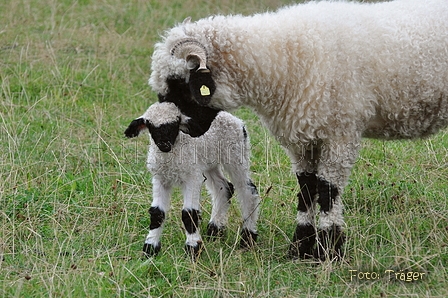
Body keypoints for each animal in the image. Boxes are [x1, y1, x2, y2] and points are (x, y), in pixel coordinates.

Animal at [124, 101, 260, 258]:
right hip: (209, 162)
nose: (164, 144)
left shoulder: (192, 177)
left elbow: (189, 214)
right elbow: (157, 213)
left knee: (248, 192)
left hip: (236, 155)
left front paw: (193, 248)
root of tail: (236, 120)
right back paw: (214, 230)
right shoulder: (160, 178)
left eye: (175, 124)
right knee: (223, 188)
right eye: (151, 126)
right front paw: (150, 248)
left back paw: (248, 237)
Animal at [146, 0, 448, 260]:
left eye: (178, 83)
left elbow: (327, 190)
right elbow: (306, 187)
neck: (282, 59)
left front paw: (329, 250)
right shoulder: (303, 138)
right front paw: (301, 247)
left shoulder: (340, 133)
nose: (183, 133)